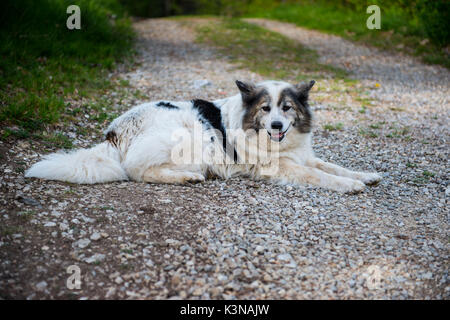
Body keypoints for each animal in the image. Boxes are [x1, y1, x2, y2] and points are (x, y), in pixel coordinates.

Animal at [26, 80, 382, 192]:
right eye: (266, 109)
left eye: (287, 108)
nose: (277, 126)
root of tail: (116, 131)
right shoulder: (281, 167)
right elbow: (320, 175)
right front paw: (350, 185)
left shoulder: (302, 156)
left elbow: (331, 166)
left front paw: (364, 175)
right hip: (187, 136)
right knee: (136, 171)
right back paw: (187, 177)